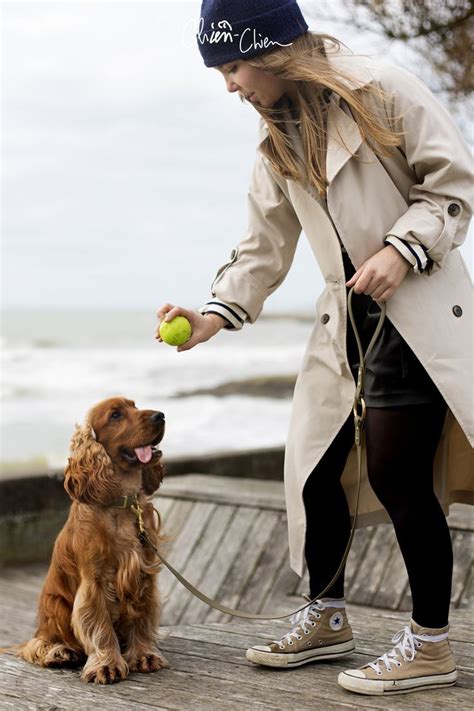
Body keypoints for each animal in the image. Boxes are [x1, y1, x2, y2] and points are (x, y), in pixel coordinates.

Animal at [16, 398, 168, 688]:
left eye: (135, 405)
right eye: (116, 415)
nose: (161, 415)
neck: (120, 502)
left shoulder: (143, 572)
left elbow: (142, 618)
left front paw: (144, 655)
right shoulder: (94, 581)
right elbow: (99, 626)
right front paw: (106, 665)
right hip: (55, 606)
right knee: (36, 643)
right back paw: (59, 653)